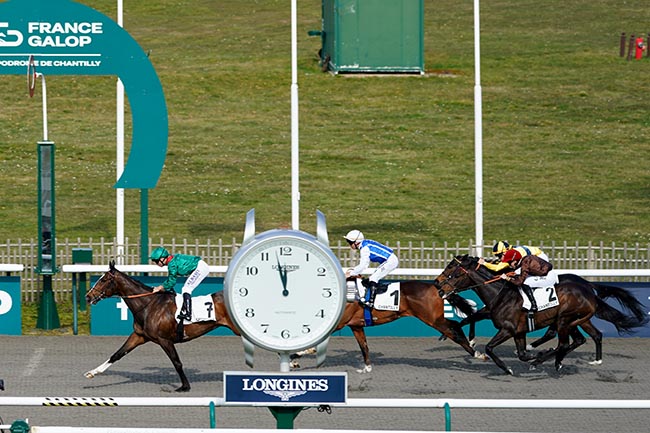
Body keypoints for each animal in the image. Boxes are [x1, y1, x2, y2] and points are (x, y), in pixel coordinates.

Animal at [84, 260, 238, 392]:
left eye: (103, 280)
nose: (88, 297)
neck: (149, 305)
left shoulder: (164, 340)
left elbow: (177, 362)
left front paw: (184, 386)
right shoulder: (139, 335)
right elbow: (118, 354)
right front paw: (92, 372)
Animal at [290, 278, 486, 372]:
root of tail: (437, 288)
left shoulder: (339, 323)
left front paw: (295, 357)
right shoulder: (356, 325)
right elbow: (364, 346)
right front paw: (367, 367)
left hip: (432, 318)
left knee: (455, 328)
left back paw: (477, 353)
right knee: (456, 325)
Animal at [432, 255, 644, 372]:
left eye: (453, 270)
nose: (438, 285)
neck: (500, 293)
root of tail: (587, 287)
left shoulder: (508, 329)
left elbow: (491, 348)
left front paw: (509, 368)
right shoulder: (517, 331)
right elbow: (473, 317)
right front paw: (451, 334)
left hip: (565, 319)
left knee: (565, 342)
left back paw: (550, 357)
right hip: (573, 320)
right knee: (584, 338)